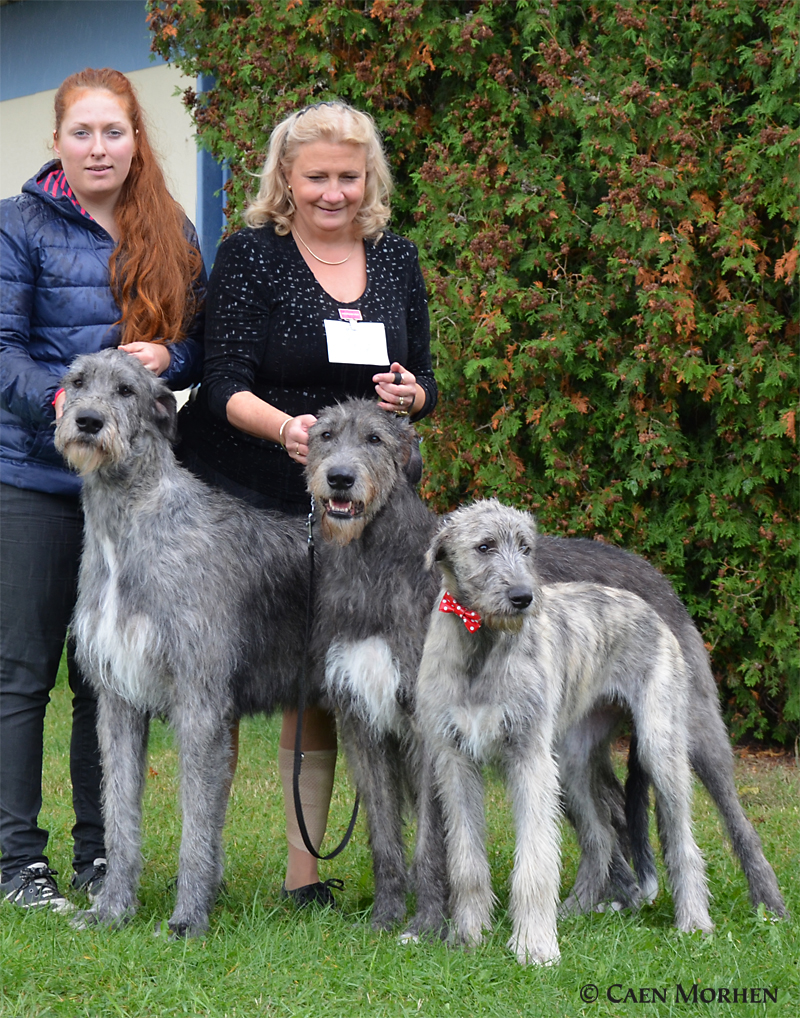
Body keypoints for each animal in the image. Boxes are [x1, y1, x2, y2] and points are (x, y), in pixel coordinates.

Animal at [52, 350, 309, 936]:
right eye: (77, 382)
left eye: (126, 390)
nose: (88, 422)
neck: (130, 526)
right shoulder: (117, 700)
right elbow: (119, 812)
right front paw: (112, 908)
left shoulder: (201, 703)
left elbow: (197, 821)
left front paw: (188, 919)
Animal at [411, 500, 712, 960]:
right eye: (484, 546)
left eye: (526, 547)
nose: (524, 598)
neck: (481, 646)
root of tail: (649, 607)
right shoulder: (455, 760)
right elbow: (466, 860)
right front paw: (468, 934)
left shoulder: (530, 758)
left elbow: (535, 860)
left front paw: (534, 946)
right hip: (570, 762)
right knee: (600, 836)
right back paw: (576, 909)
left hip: (659, 748)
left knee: (682, 844)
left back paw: (694, 922)